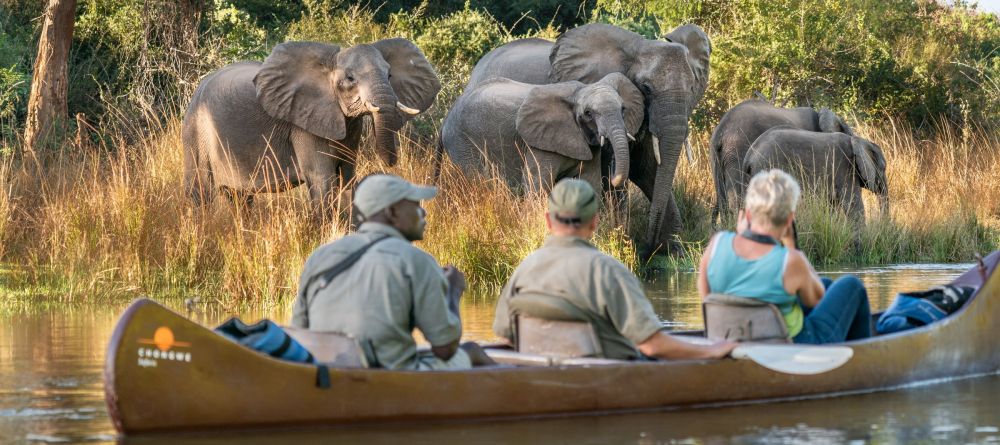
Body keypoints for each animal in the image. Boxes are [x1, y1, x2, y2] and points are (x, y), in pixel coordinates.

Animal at [442, 72, 644, 193]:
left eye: (623, 109)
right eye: (588, 113)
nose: (614, 177)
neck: (578, 92)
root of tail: (447, 116)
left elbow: (588, 183)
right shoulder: (538, 144)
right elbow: (537, 185)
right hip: (462, 143)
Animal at [464, 22, 716, 255]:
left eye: (692, 87)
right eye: (646, 88)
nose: (648, 246)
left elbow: (646, 168)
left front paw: (674, 251)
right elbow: (615, 169)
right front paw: (620, 240)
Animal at [744, 126, 892, 224]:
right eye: (884, 168)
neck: (857, 140)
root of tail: (750, 153)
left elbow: (832, 207)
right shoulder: (845, 168)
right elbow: (853, 205)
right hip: (767, 167)